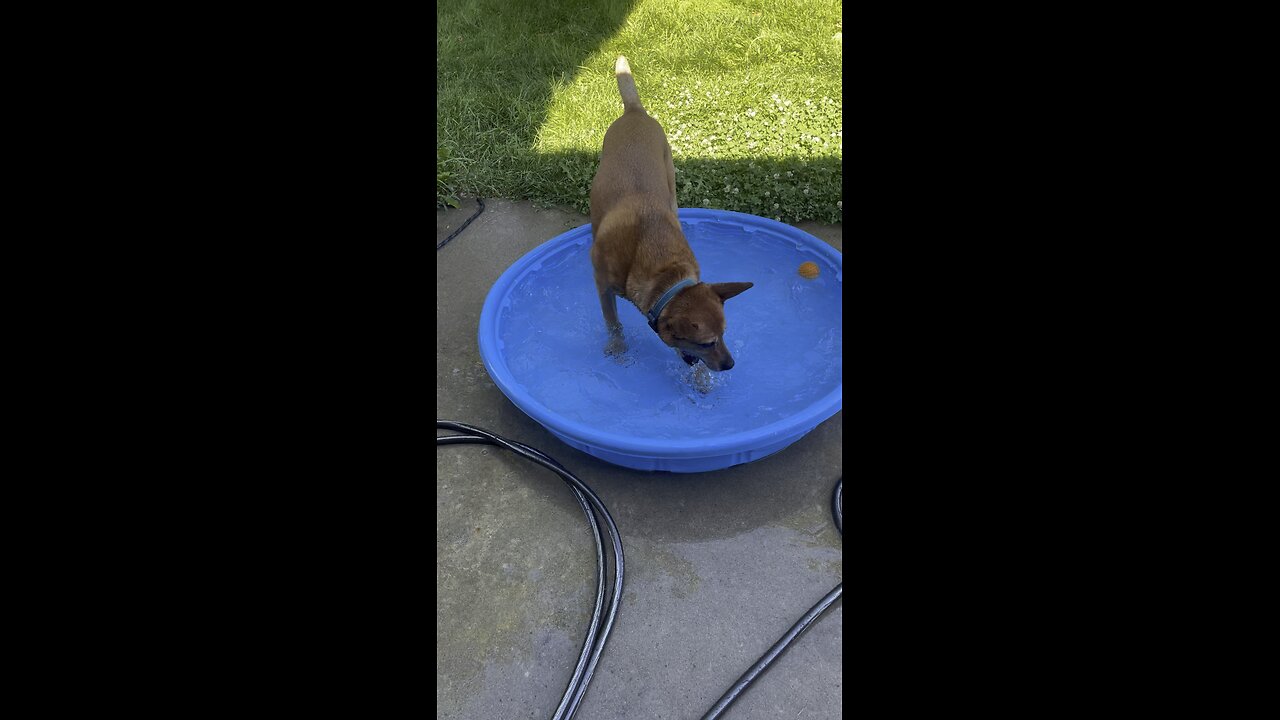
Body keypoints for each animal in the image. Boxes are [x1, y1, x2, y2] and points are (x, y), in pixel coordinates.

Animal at [588, 56, 747, 368]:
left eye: (724, 334)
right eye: (707, 343)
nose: (730, 365)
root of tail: (635, 112)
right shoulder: (602, 286)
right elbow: (613, 322)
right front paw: (618, 347)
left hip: (670, 177)